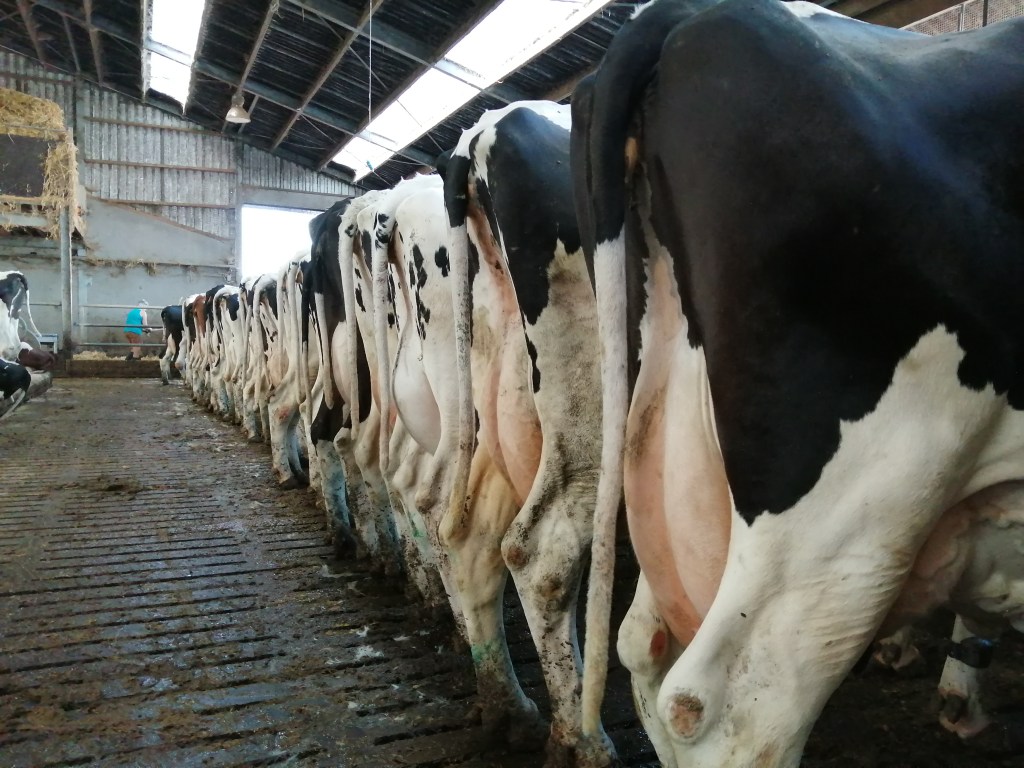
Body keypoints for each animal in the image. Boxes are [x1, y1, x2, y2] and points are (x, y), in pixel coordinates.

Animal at [443, 101, 611, 766]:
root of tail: (480, 132)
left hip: (498, 416)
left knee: (474, 544)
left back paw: (508, 708)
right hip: (591, 421)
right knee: (541, 554)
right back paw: (584, 741)